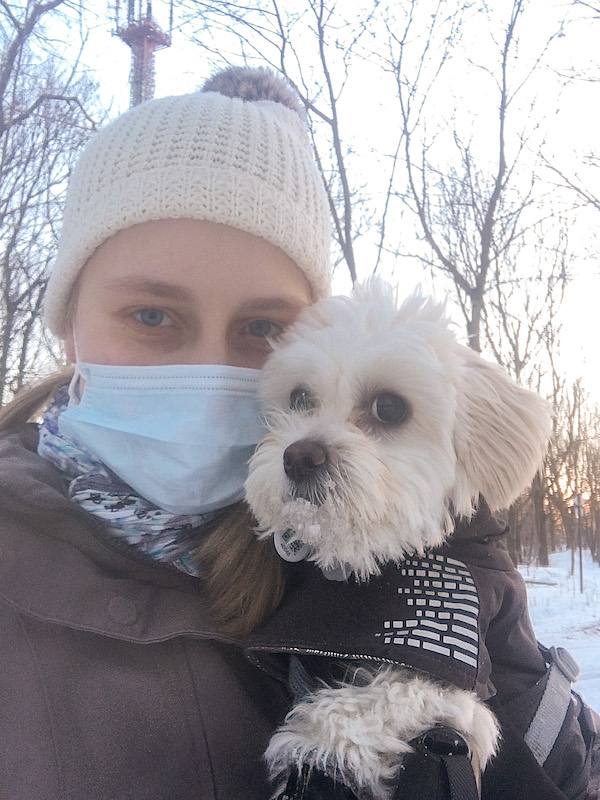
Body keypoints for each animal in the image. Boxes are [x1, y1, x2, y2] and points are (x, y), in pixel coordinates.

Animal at [245, 278, 552, 796]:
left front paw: (311, 743)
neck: (371, 560)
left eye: (389, 407)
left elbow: (389, 691)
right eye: (300, 397)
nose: (299, 456)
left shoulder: (458, 673)